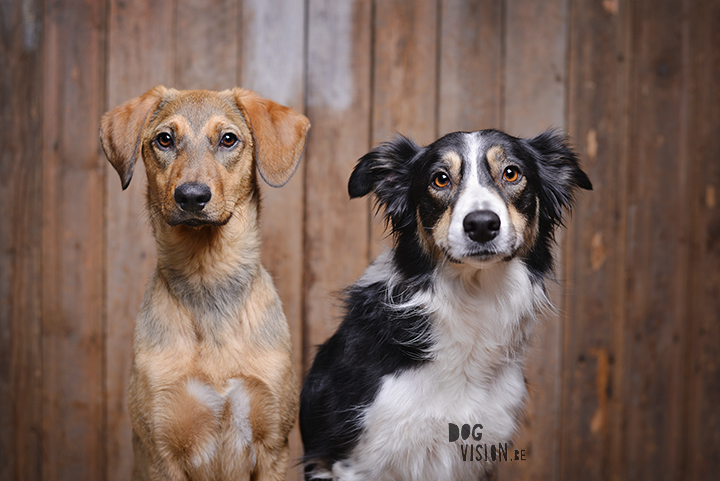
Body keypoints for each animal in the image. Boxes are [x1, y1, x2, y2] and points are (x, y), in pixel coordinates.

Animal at [99, 87, 310, 480]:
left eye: (228, 139)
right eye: (164, 139)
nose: (192, 196)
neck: (207, 274)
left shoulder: (274, 445)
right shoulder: (161, 451)